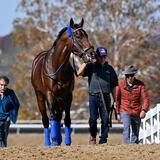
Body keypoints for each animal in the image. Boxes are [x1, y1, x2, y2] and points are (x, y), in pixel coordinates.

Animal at [31, 18, 94, 146]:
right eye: (78, 36)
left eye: (87, 35)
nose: (91, 54)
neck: (56, 67)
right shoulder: (50, 94)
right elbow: (52, 116)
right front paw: (54, 139)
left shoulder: (68, 95)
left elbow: (67, 118)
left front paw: (67, 141)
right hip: (39, 96)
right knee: (46, 119)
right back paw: (49, 142)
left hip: (59, 98)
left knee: (59, 116)